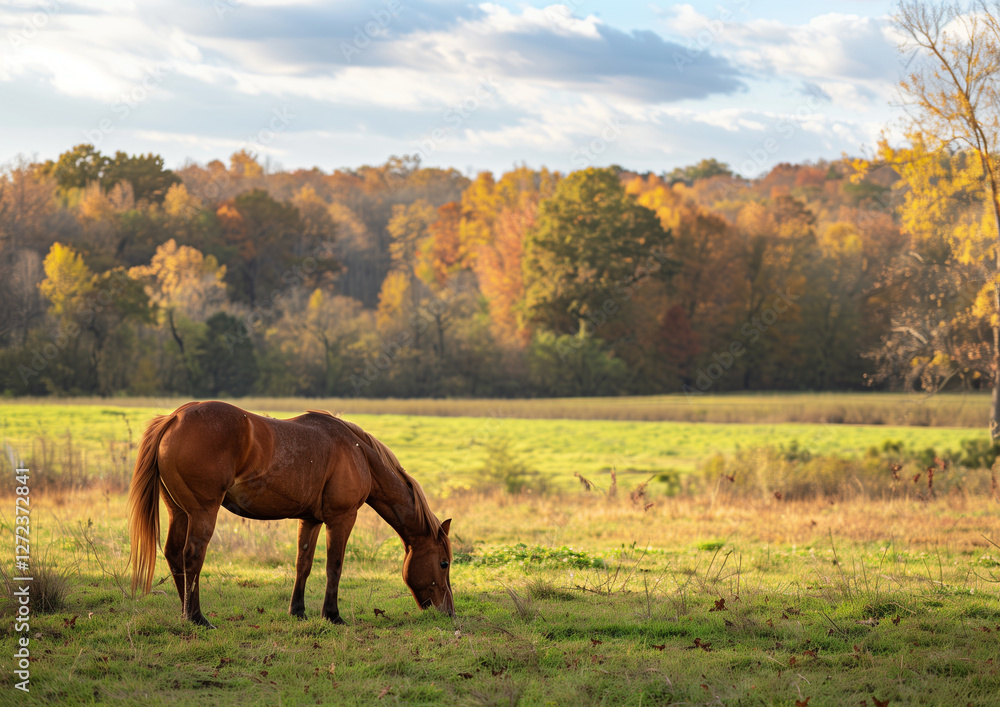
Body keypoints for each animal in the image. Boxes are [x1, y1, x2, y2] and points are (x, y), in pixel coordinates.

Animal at [128, 401, 454, 628]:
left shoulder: (310, 520)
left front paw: (298, 611)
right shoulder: (342, 518)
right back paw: (197, 617)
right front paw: (332, 615)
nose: (449, 611)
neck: (358, 452)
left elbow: (303, 564)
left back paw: (186, 613)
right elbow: (334, 566)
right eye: (444, 563)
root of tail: (175, 417)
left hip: (179, 512)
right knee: (192, 556)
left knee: (173, 554)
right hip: (202, 512)